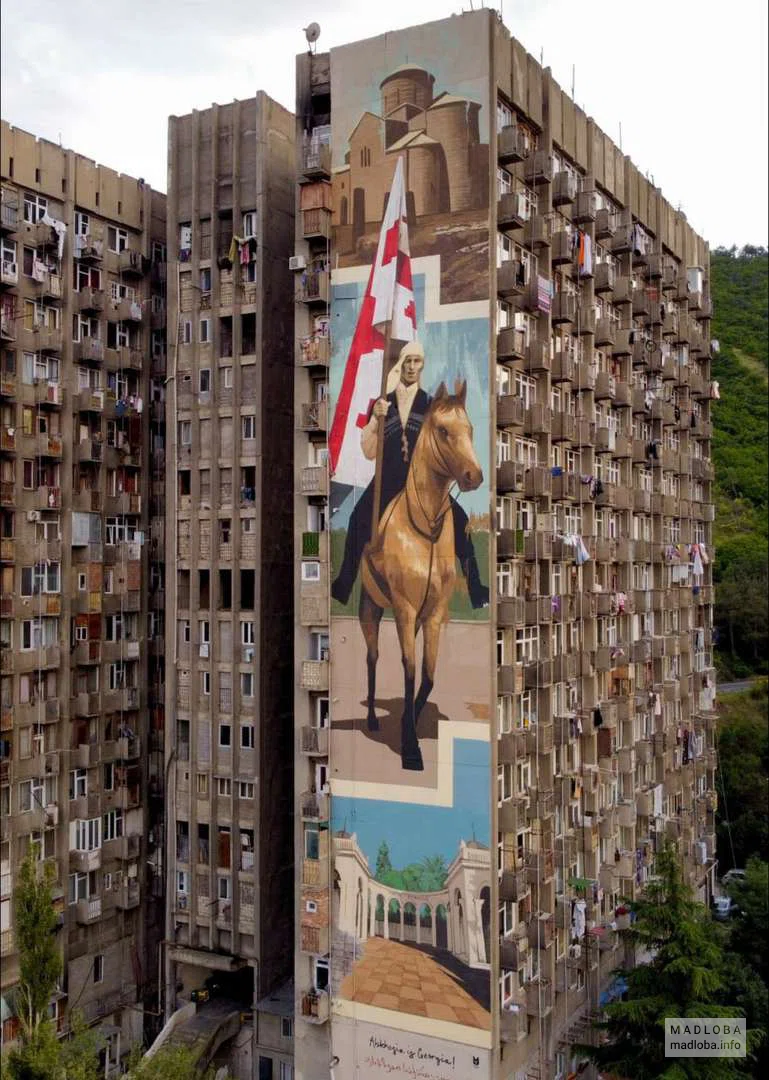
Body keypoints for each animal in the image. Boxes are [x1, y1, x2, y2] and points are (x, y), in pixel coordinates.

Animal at [359, 380, 484, 771]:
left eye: (470, 429)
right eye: (443, 430)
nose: (475, 477)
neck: (424, 527)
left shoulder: (432, 614)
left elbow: (427, 676)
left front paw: (406, 725)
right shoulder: (403, 608)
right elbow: (410, 670)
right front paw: (411, 748)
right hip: (370, 610)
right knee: (372, 659)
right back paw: (371, 718)